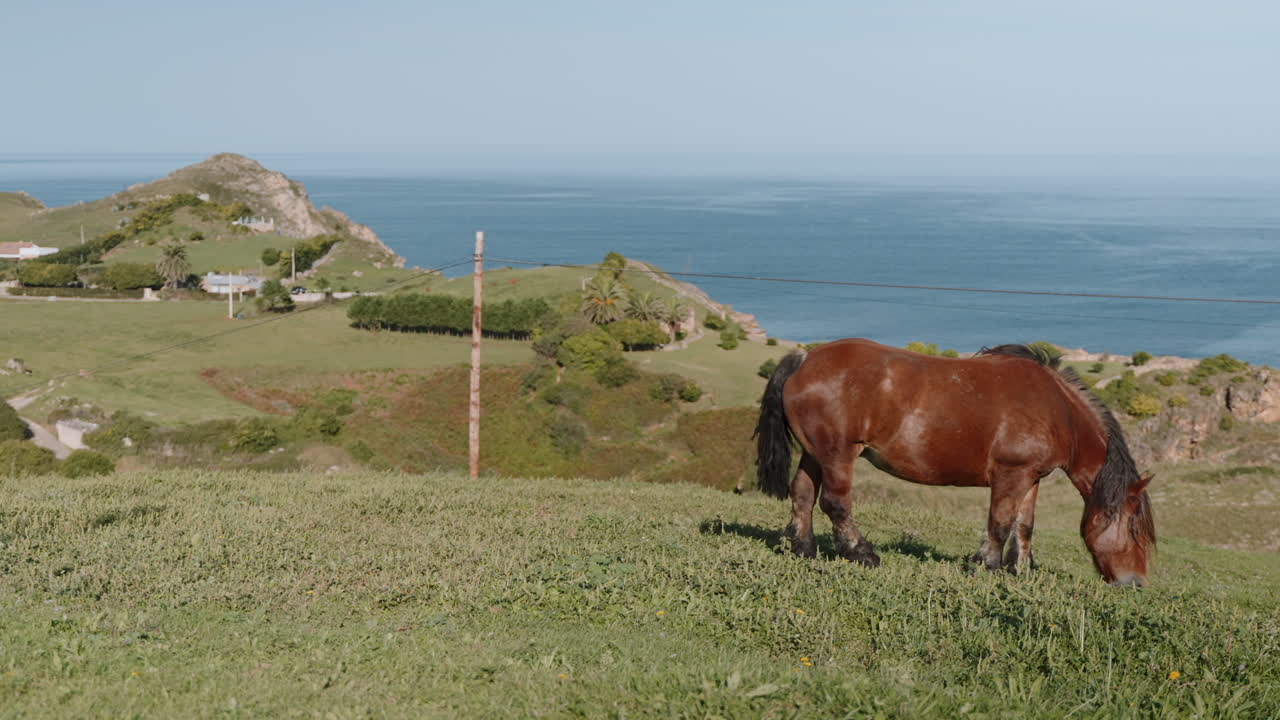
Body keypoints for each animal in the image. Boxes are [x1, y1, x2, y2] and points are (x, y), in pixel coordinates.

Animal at [754, 339, 1155, 586]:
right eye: (1136, 530)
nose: (1134, 583)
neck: (1057, 408)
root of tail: (804, 360)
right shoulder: (1010, 475)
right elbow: (1000, 523)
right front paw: (988, 565)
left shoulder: (1031, 478)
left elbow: (1024, 526)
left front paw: (1022, 570)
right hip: (839, 454)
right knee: (836, 503)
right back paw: (861, 553)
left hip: (815, 453)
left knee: (803, 494)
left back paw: (803, 548)